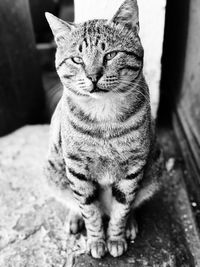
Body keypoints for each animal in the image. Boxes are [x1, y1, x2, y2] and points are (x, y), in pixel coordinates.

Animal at [44, 0, 163, 260]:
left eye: (110, 55)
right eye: (77, 60)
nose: (93, 76)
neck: (104, 115)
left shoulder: (133, 168)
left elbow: (122, 209)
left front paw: (115, 238)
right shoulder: (77, 170)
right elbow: (90, 210)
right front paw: (97, 241)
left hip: (155, 167)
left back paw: (130, 224)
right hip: (53, 170)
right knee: (75, 202)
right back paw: (75, 219)